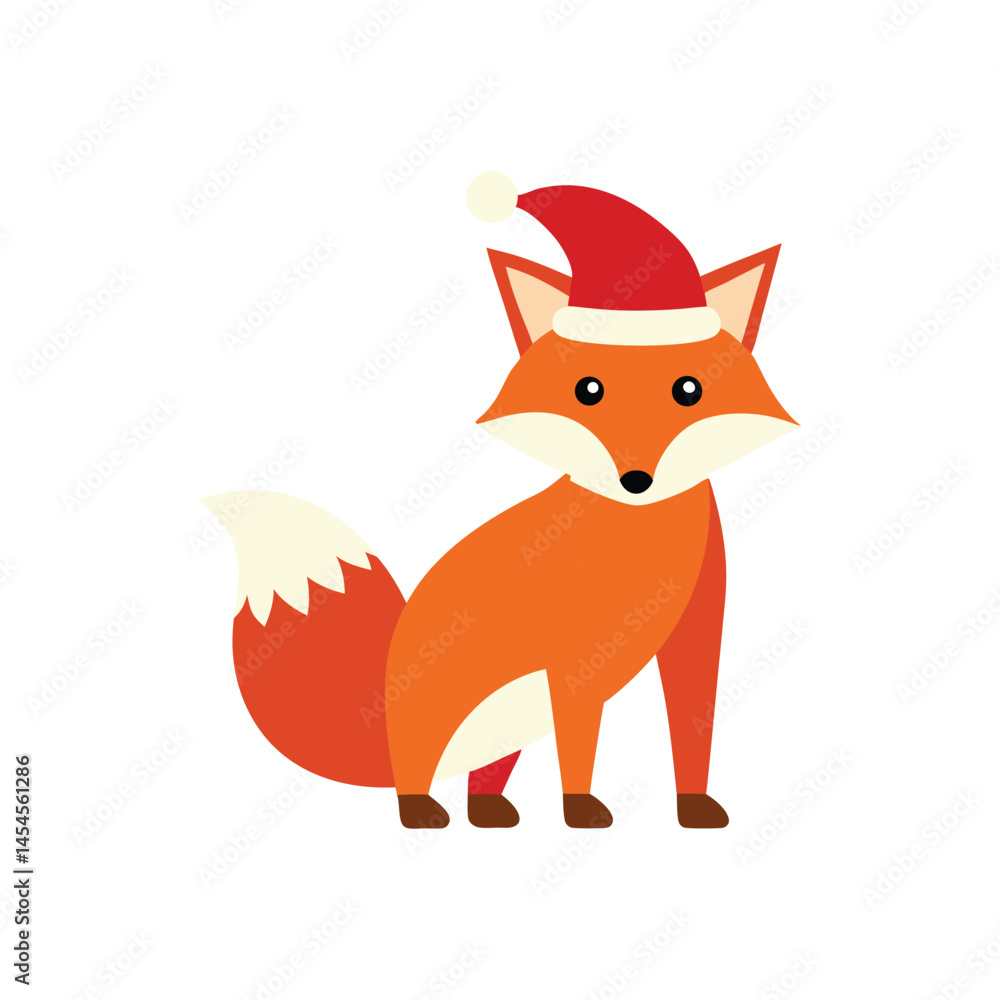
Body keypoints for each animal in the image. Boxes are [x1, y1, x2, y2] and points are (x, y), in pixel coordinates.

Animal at [205, 174, 797, 830]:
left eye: (689, 390)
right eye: (587, 390)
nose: (636, 480)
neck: (641, 539)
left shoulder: (697, 640)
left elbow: (693, 731)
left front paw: (693, 809)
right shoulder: (574, 665)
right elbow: (580, 750)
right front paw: (580, 810)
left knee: (481, 774)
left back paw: (489, 811)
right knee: (414, 771)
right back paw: (422, 812)